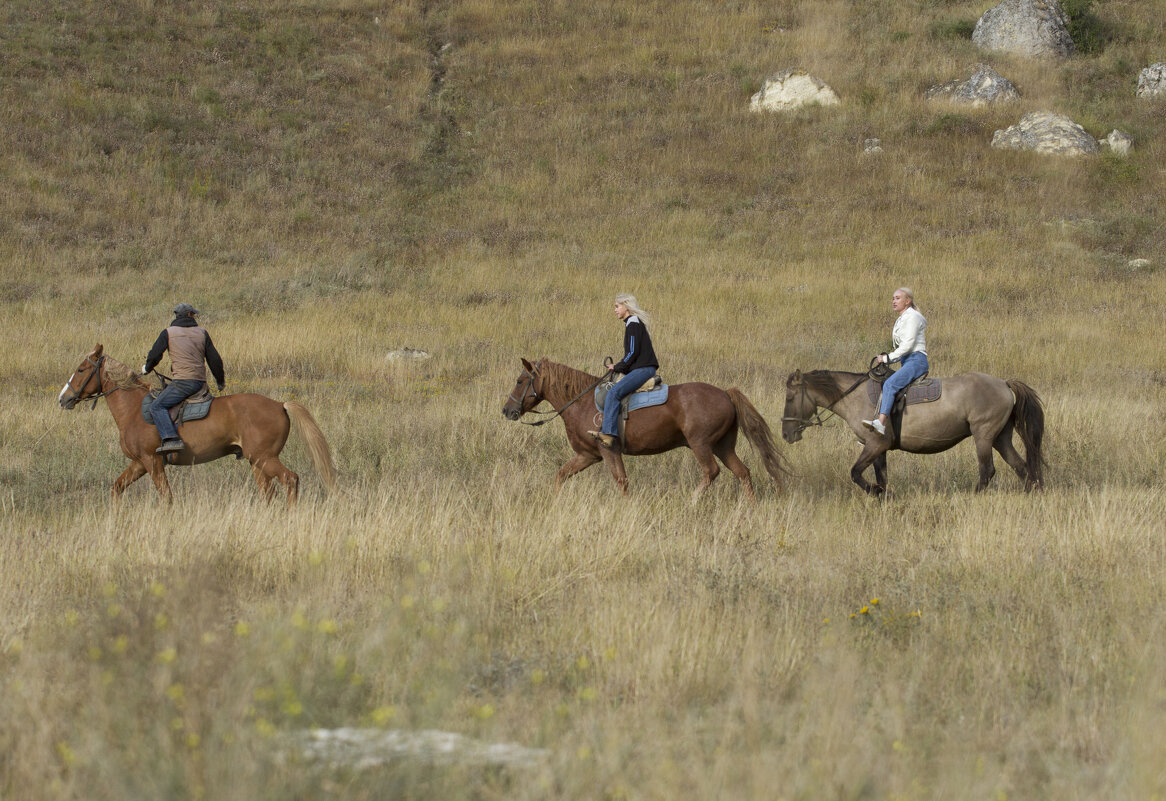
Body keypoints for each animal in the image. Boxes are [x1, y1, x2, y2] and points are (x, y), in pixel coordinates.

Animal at [58, 345, 338, 508]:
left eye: (81, 369)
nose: (63, 398)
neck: (135, 409)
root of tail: (280, 404)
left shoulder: (152, 461)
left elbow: (167, 498)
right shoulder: (138, 463)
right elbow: (116, 489)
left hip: (264, 458)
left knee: (291, 479)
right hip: (257, 462)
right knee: (269, 494)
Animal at [496, 359, 788, 499]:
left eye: (520, 380)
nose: (507, 410)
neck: (581, 401)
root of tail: (726, 394)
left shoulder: (608, 451)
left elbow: (621, 481)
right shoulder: (587, 455)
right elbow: (561, 476)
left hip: (701, 444)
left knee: (711, 471)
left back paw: (692, 500)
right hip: (723, 445)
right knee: (743, 472)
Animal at [783, 368, 1049, 494]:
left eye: (789, 397)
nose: (786, 433)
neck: (857, 397)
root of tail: (1004, 384)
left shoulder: (875, 444)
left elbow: (856, 473)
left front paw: (876, 492)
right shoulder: (879, 449)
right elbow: (881, 475)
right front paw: (885, 495)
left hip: (983, 436)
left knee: (987, 470)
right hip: (1001, 438)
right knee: (1021, 467)